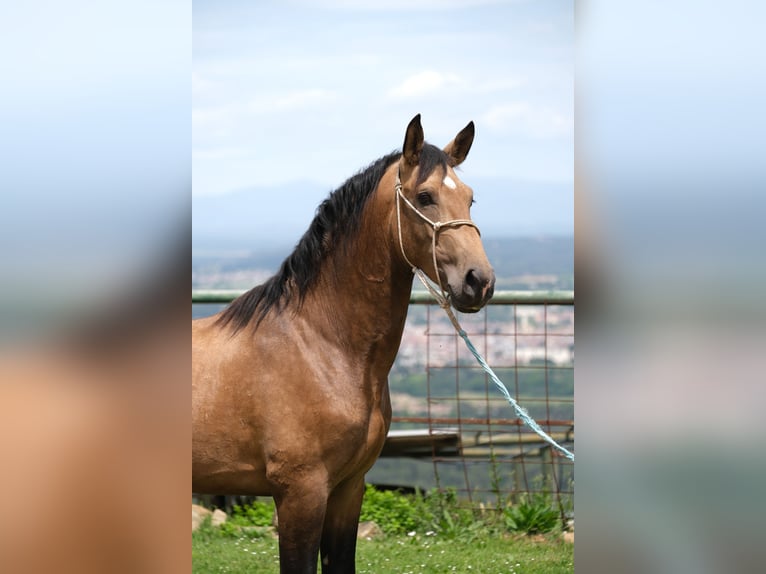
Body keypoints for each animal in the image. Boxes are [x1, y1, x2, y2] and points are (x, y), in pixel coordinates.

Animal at [192, 115, 498, 572]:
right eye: (424, 197)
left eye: (470, 199)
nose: (479, 281)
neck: (321, 348)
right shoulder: (301, 493)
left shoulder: (348, 489)